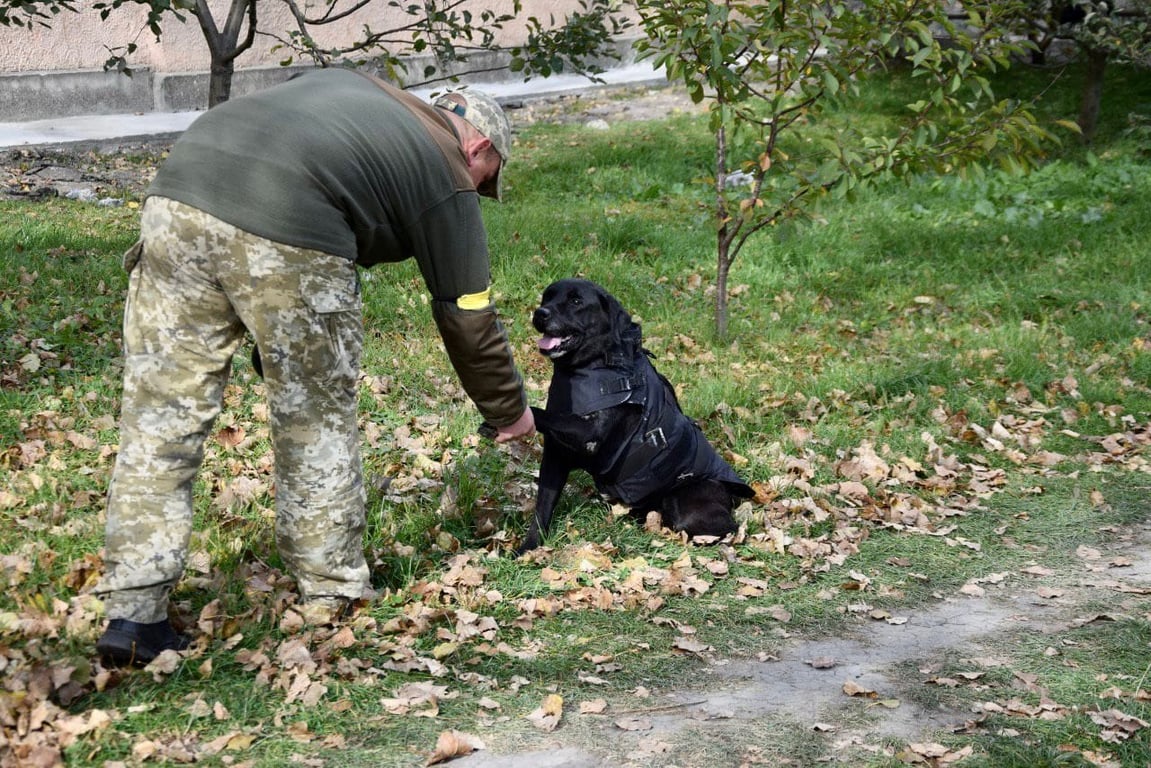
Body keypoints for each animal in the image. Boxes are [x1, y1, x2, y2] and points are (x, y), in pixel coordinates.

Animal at [522, 277, 755, 552]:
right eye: (546, 297)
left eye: (576, 301)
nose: (540, 313)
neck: (590, 364)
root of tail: (731, 495)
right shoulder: (555, 456)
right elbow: (543, 507)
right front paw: (527, 548)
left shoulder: (589, 434)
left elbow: (544, 416)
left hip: (688, 505)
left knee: (727, 529)